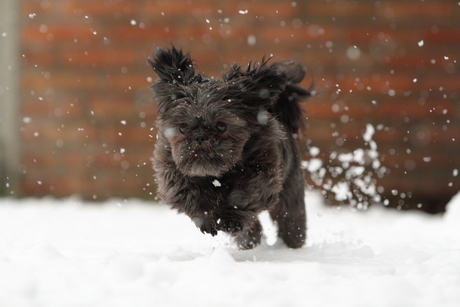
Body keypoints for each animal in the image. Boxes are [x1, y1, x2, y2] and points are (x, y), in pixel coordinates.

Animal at [149, 47, 310, 250]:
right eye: (182, 127)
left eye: (221, 126)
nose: (200, 137)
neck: (218, 173)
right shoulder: (171, 170)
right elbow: (189, 193)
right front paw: (208, 218)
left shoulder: (263, 171)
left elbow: (243, 195)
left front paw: (231, 219)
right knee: (253, 228)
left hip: (290, 193)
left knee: (290, 220)